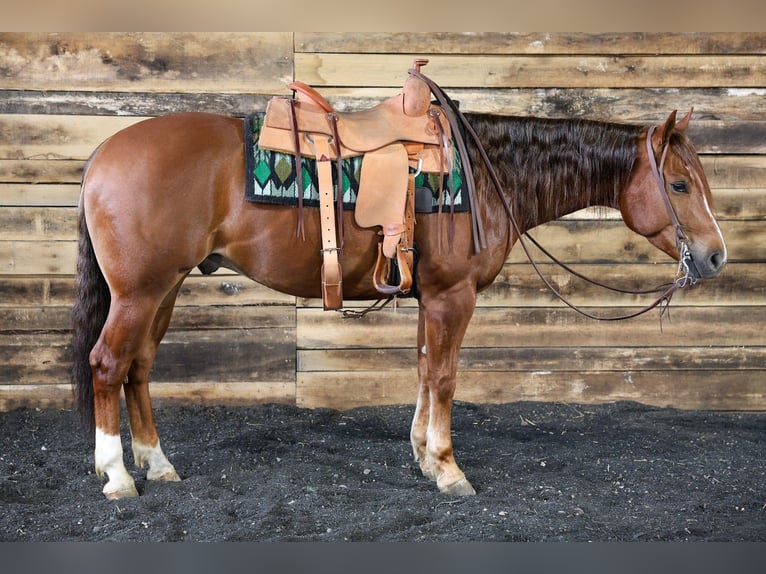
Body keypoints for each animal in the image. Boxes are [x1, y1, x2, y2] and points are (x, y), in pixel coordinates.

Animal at [71, 103, 727, 499]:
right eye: (678, 184)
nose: (716, 257)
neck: (485, 176)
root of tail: (103, 153)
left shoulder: (428, 297)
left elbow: (422, 368)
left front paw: (421, 455)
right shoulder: (452, 297)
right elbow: (444, 376)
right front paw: (448, 468)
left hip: (166, 288)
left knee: (138, 368)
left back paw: (158, 464)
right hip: (139, 292)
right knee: (108, 364)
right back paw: (118, 476)